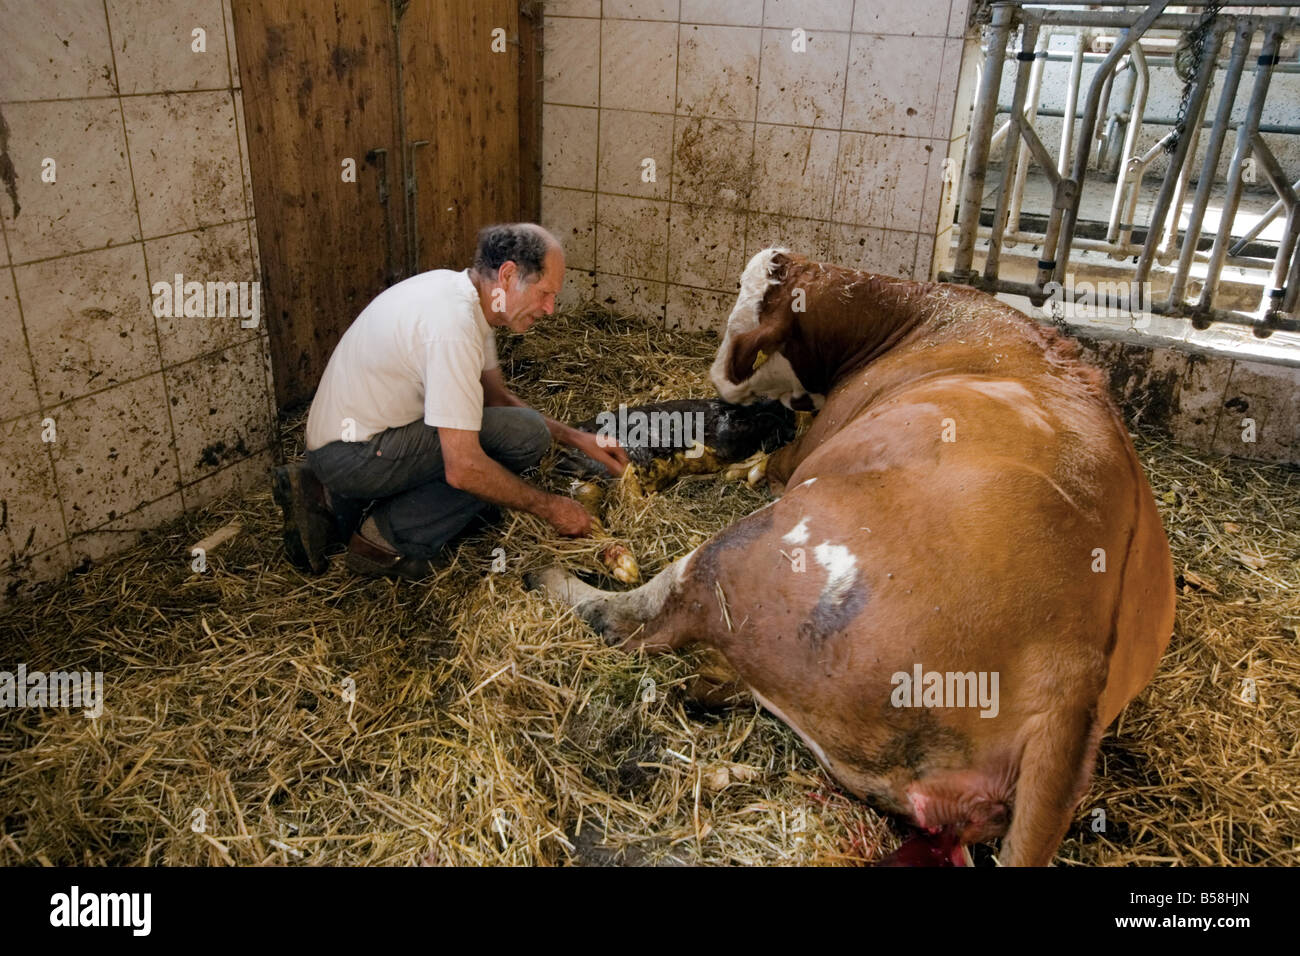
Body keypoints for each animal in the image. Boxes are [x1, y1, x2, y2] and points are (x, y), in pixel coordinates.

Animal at [528, 248, 1175, 866]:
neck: (915, 316)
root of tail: (1072, 667)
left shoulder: (807, 448)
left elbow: (775, 460)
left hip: (752, 550)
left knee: (636, 617)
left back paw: (553, 580)